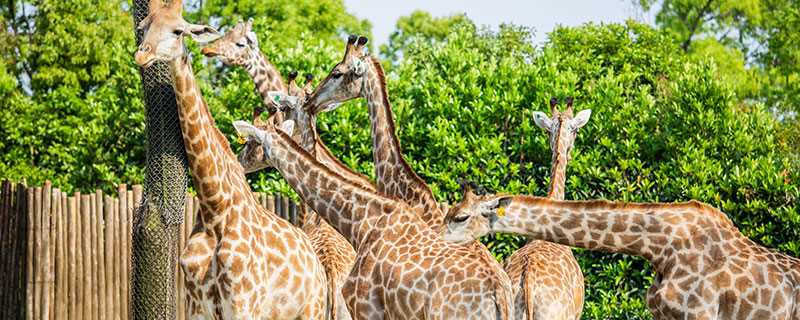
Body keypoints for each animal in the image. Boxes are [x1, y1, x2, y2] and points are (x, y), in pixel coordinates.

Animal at [134, 0, 328, 318]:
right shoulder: (196, 306)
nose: (142, 54)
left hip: (312, 308)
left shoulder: (242, 305)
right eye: (143, 26)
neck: (216, 209)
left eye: (178, 30)